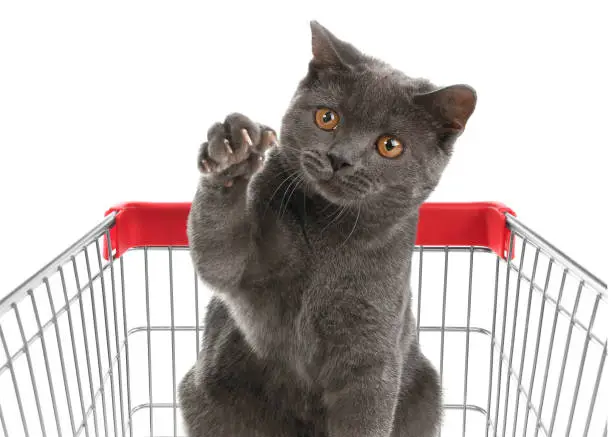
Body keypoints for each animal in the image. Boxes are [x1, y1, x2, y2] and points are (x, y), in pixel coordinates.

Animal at [178, 18, 478, 434]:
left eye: (390, 145)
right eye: (327, 117)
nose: (340, 159)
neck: (331, 237)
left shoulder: (371, 359)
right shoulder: (243, 270)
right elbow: (218, 253)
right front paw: (233, 150)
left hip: (427, 392)